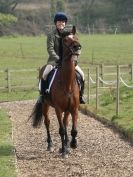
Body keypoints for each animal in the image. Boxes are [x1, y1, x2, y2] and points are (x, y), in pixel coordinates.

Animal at [30, 25, 81, 158]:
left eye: (76, 37)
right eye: (65, 40)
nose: (77, 47)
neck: (67, 83)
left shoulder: (73, 108)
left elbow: (73, 129)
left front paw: (72, 144)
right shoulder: (58, 109)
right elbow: (61, 130)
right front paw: (64, 151)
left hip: (66, 110)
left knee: (65, 123)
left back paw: (66, 145)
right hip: (45, 105)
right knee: (47, 122)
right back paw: (50, 145)